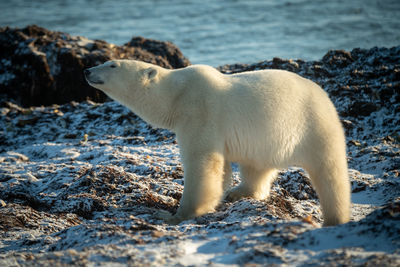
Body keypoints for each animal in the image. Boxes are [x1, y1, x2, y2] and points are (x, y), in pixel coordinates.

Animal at [83, 60, 350, 226]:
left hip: (313, 125)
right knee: (256, 167)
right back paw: (239, 192)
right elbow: (221, 168)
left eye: (113, 64)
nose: (88, 70)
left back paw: (334, 218)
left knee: (330, 174)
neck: (177, 94)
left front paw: (173, 215)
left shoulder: (200, 111)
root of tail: (324, 95)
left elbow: (202, 162)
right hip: (267, 140)